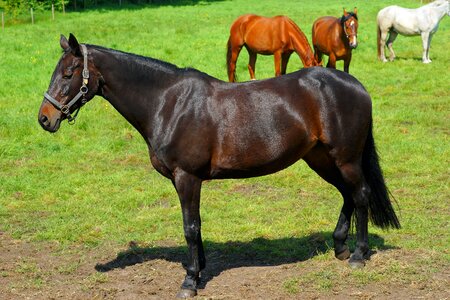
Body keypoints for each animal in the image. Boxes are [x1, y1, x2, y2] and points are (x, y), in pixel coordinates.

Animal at [37, 34, 400, 298]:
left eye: (68, 73)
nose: (45, 118)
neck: (167, 103)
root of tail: (355, 85)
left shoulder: (187, 177)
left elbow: (190, 227)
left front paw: (189, 282)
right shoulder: (185, 180)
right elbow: (196, 227)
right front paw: (198, 271)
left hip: (345, 158)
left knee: (361, 194)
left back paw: (358, 255)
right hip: (321, 159)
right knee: (348, 195)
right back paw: (340, 247)